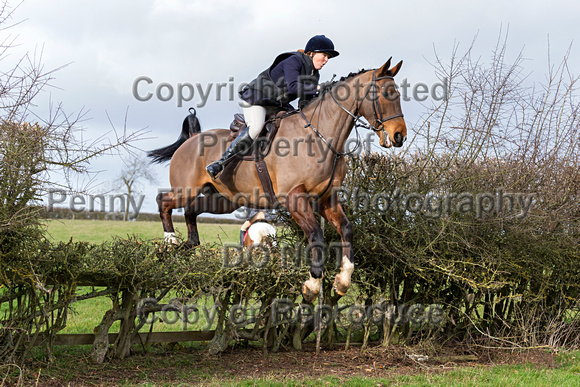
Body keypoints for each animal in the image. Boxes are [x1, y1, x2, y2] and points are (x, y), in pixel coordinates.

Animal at [147, 59, 406, 304]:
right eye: (385, 94)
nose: (399, 136)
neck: (320, 136)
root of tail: (191, 139)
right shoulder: (294, 197)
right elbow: (316, 235)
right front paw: (312, 285)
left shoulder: (326, 198)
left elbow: (346, 229)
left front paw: (342, 280)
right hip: (186, 189)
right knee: (164, 201)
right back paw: (170, 242)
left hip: (225, 199)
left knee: (191, 210)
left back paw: (187, 245)